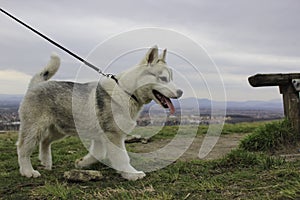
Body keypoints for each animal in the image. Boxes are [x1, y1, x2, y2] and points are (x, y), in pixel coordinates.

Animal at [18, 46, 183, 180]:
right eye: (163, 78)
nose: (180, 92)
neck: (127, 92)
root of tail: (36, 85)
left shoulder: (100, 138)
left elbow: (98, 154)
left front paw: (82, 162)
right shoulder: (113, 135)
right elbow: (122, 157)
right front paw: (131, 173)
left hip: (58, 130)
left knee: (45, 141)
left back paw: (46, 162)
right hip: (34, 129)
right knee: (23, 148)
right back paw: (28, 171)